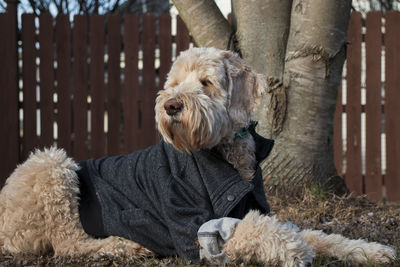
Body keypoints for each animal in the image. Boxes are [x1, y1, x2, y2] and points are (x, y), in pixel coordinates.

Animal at [0, 47, 396, 266]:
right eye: (174, 84)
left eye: (206, 82)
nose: (172, 105)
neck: (222, 151)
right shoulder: (194, 233)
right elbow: (256, 230)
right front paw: (291, 245)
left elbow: (318, 235)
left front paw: (371, 251)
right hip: (52, 165)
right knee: (66, 242)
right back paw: (121, 245)